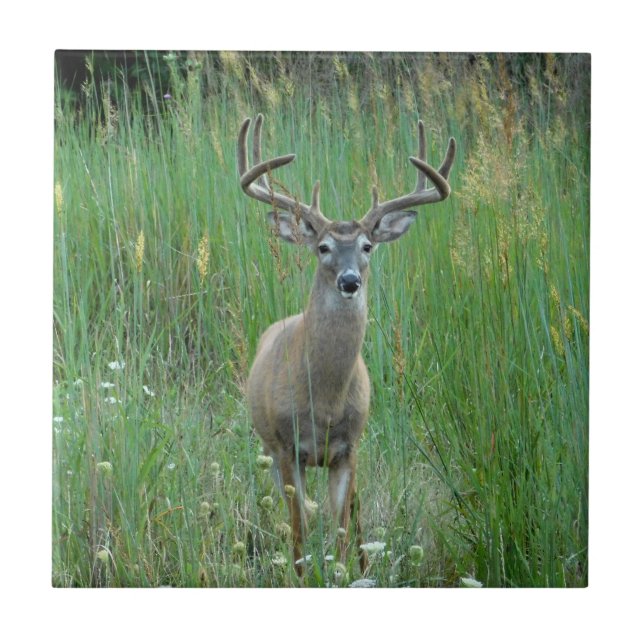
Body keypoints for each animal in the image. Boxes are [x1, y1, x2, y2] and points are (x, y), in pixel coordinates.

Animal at [237, 114, 455, 576]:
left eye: (367, 246)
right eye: (323, 247)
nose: (350, 280)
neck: (324, 402)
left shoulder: (347, 448)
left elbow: (339, 526)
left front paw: (343, 572)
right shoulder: (288, 448)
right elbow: (300, 529)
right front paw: (302, 576)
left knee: (356, 510)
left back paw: (365, 562)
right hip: (269, 448)